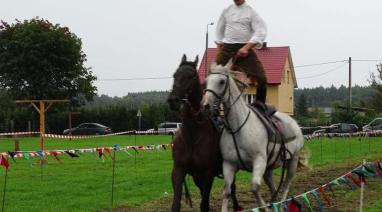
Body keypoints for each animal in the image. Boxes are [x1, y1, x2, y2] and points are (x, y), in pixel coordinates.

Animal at [168, 55, 240, 212]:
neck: (192, 135)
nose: (173, 100)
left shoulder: (208, 174)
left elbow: (204, 204)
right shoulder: (179, 170)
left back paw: (237, 206)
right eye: (175, 75)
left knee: (232, 187)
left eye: (191, 76)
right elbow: (176, 204)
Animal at [203, 62, 308, 211]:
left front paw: (265, 208)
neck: (238, 128)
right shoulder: (229, 165)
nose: (206, 105)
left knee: (286, 186)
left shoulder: (259, 162)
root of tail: (294, 123)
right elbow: (227, 192)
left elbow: (254, 188)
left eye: (221, 81)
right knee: (274, 188)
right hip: (269, 168)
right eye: (206, 81)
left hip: (292, 161)